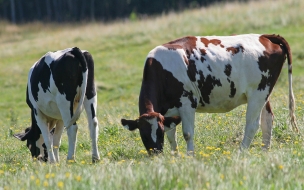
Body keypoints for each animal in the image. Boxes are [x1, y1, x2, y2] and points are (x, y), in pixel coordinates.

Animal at [120, 33, 296, 154]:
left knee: (252, 125)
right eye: (143, 134)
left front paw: (190, 156)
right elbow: (172, 135)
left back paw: (241, 152)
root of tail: (265, 36)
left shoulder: (187, 104)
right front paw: (175, 157)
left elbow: (187, 134)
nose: (155, 154)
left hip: (257, 93)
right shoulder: (168, 111)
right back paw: (265, 151)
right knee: (268, 119)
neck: (162, 71)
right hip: (264, 93)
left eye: (159, 133)